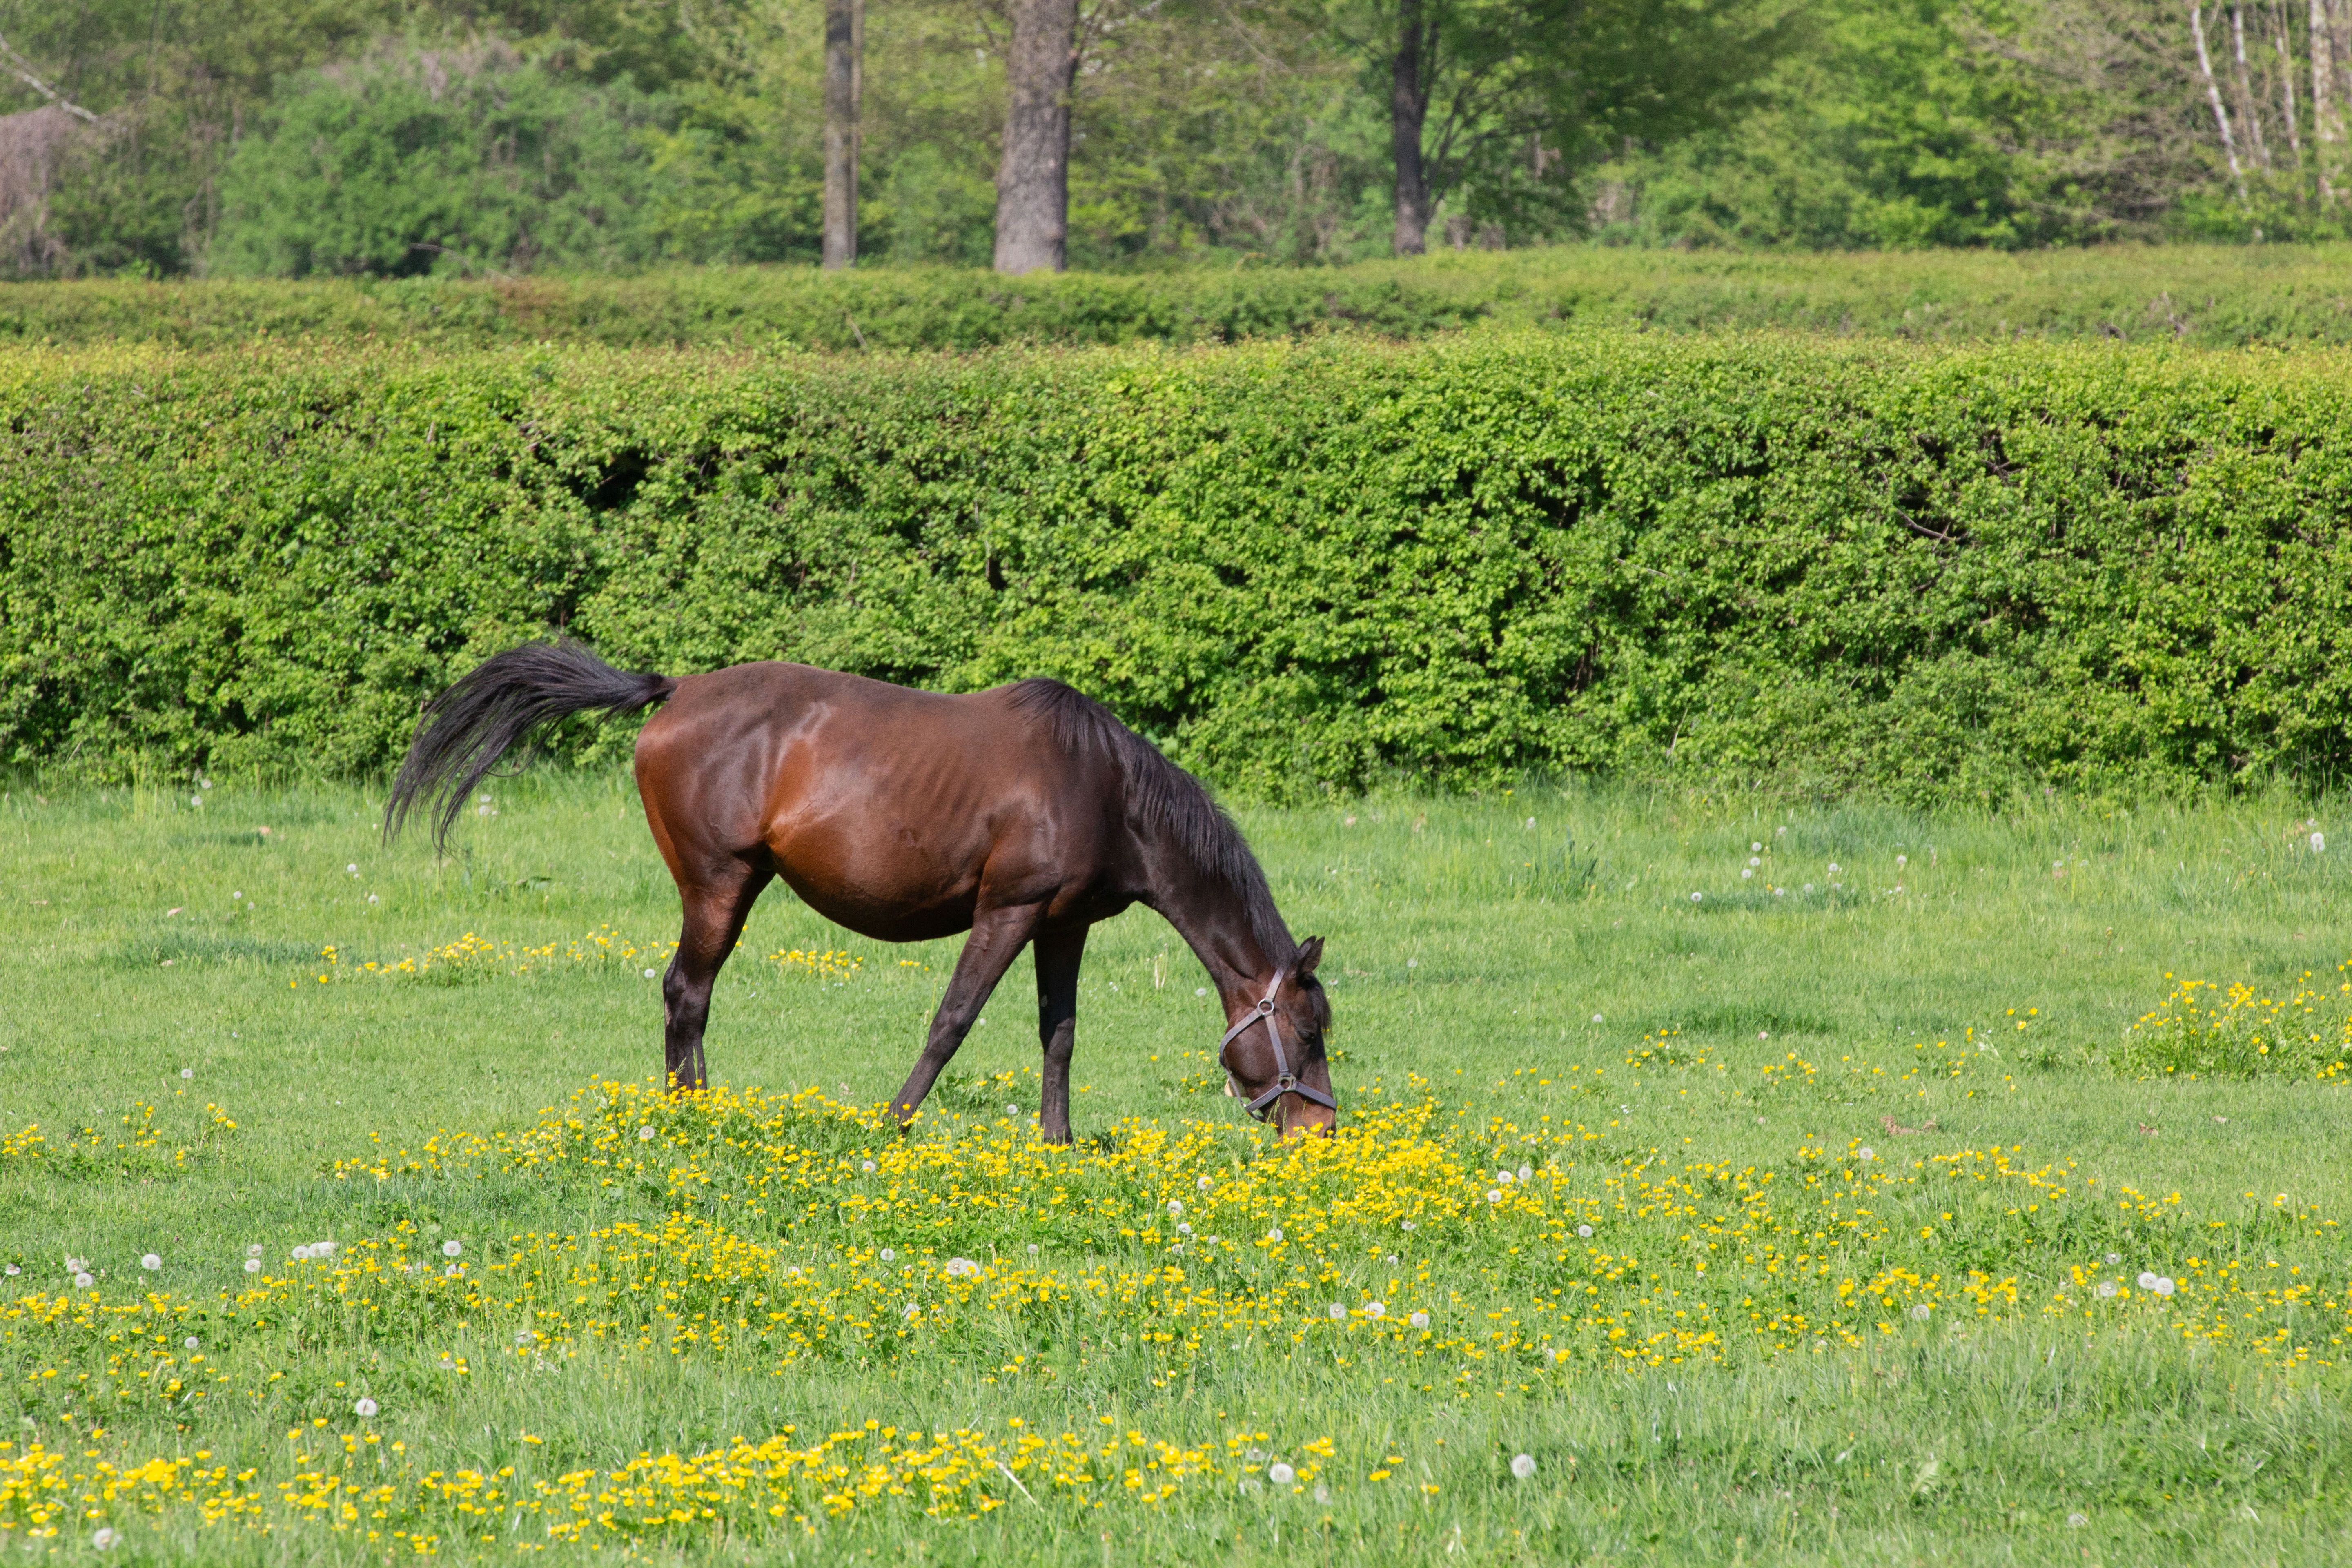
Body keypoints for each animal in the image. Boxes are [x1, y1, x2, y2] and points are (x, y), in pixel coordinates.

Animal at [384, 640, 1337, 1141]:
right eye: (1309, 1030)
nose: (1319, 1131)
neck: (1101, 787)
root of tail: (675, 691)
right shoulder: (1009, 911)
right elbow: (953, 1021)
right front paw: (894, 1125)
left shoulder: (1063, 926)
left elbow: (1059, 1035)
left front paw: (1058, 1145)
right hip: (719, 885)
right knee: (687, 992)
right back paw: (695, 1119)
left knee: (690, 997)